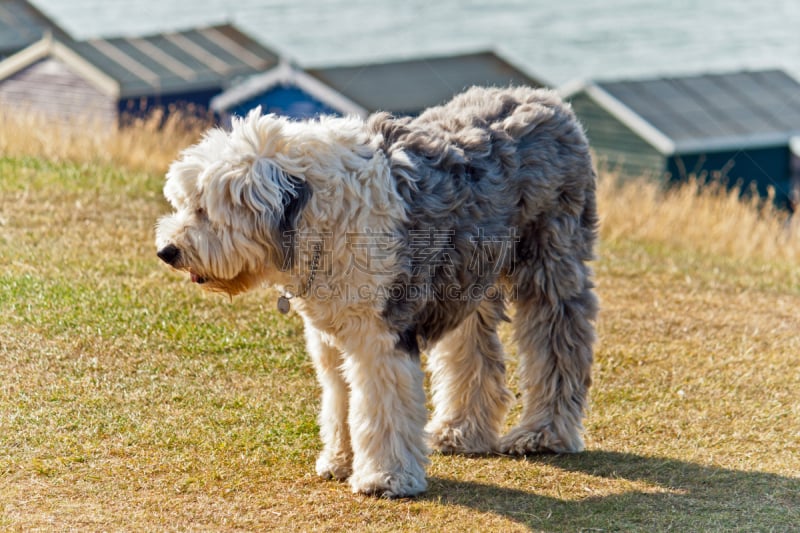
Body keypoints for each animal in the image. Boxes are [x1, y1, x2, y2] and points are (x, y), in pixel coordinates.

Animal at [156, 85, 596, 496]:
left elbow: (380, 406)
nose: (166, 251)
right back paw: (459, 431)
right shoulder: (331, 337)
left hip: (551, 265)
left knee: (557, 345)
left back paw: (543, 433)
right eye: (184, 204)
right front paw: (339, 460)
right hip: (465, 280)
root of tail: (548, 100)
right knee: (473, 354)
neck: (322, 217)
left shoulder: (380, 335)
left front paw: (386, 477)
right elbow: (341, 399)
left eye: (204, 210)